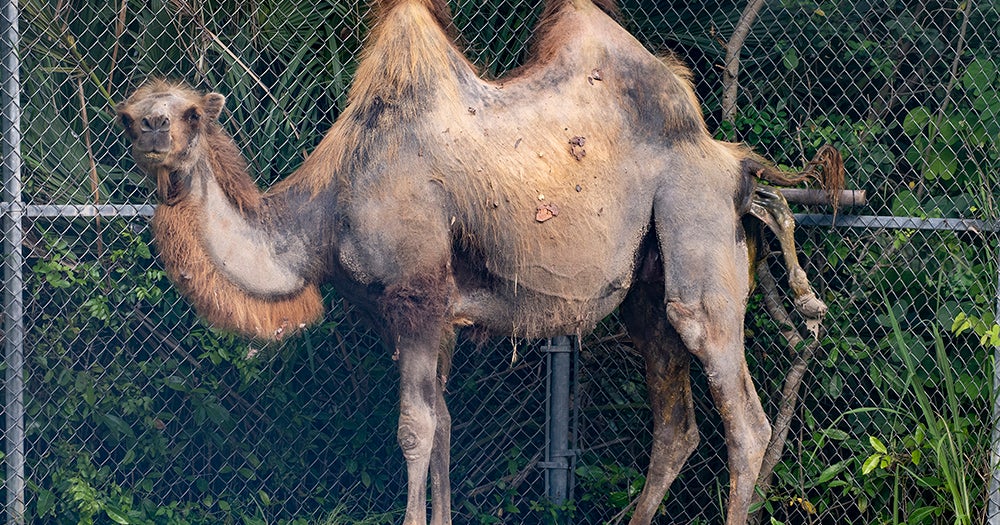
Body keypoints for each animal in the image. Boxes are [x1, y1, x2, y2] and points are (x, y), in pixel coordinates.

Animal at [117, 0, 836, 523]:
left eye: (188, 112)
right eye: (130, 114)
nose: (152, 131)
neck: (330, 205)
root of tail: (735, 164)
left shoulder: (415, 293)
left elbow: (414, 428)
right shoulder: (432, 313)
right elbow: (442, 427)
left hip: (697, 225)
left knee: (744, 419)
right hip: (648, 288)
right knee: (676, 427)